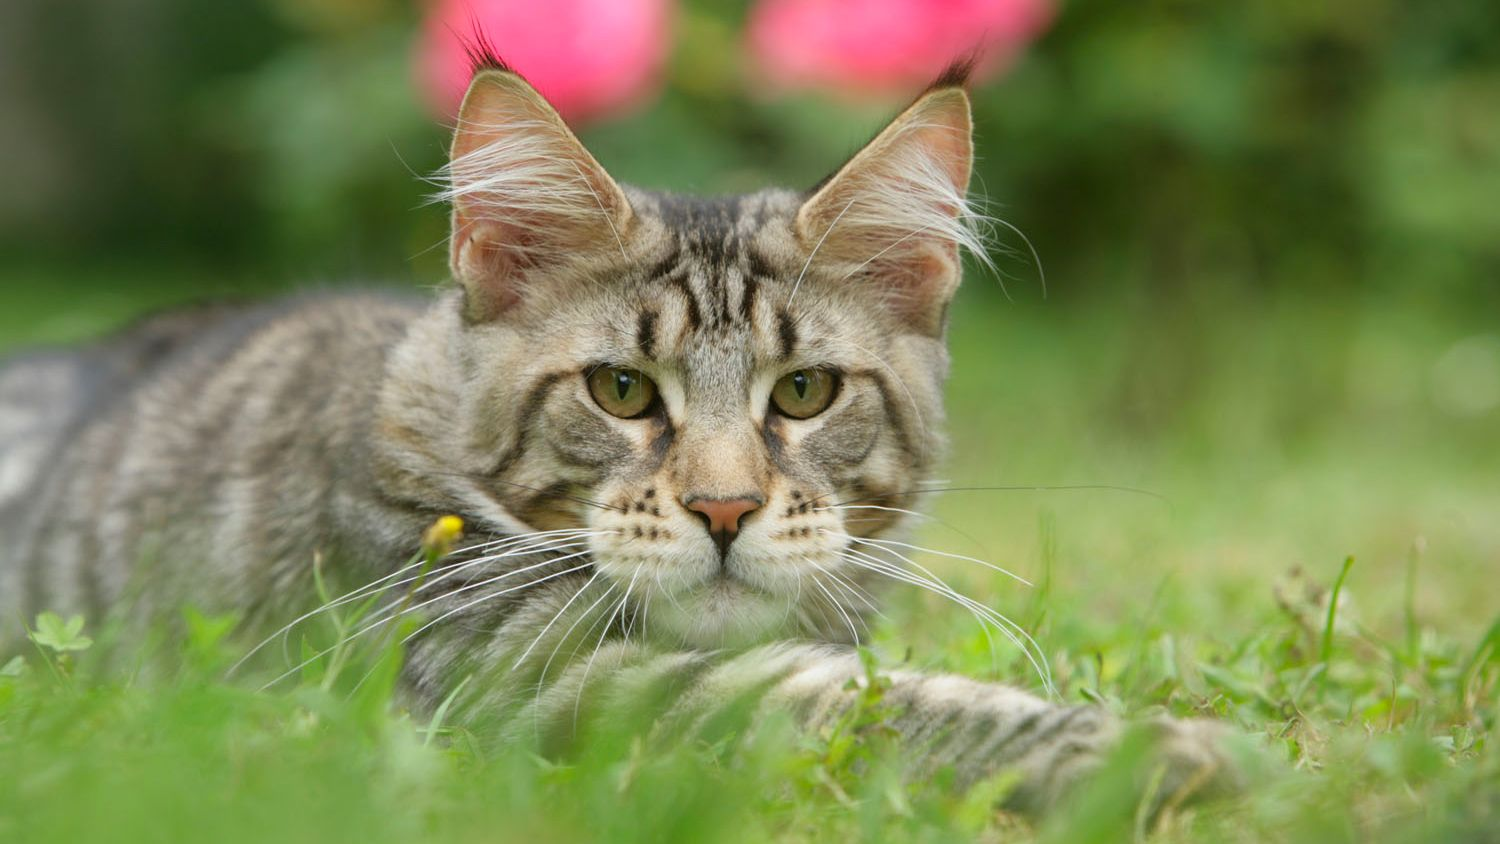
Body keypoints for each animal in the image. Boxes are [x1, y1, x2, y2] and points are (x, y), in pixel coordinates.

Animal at [0, 56, 1236, 815]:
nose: (726, 508)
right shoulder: (533, 677)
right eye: (623, 391)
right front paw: (1142, 751)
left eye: (803, 393)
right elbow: (875, 705)